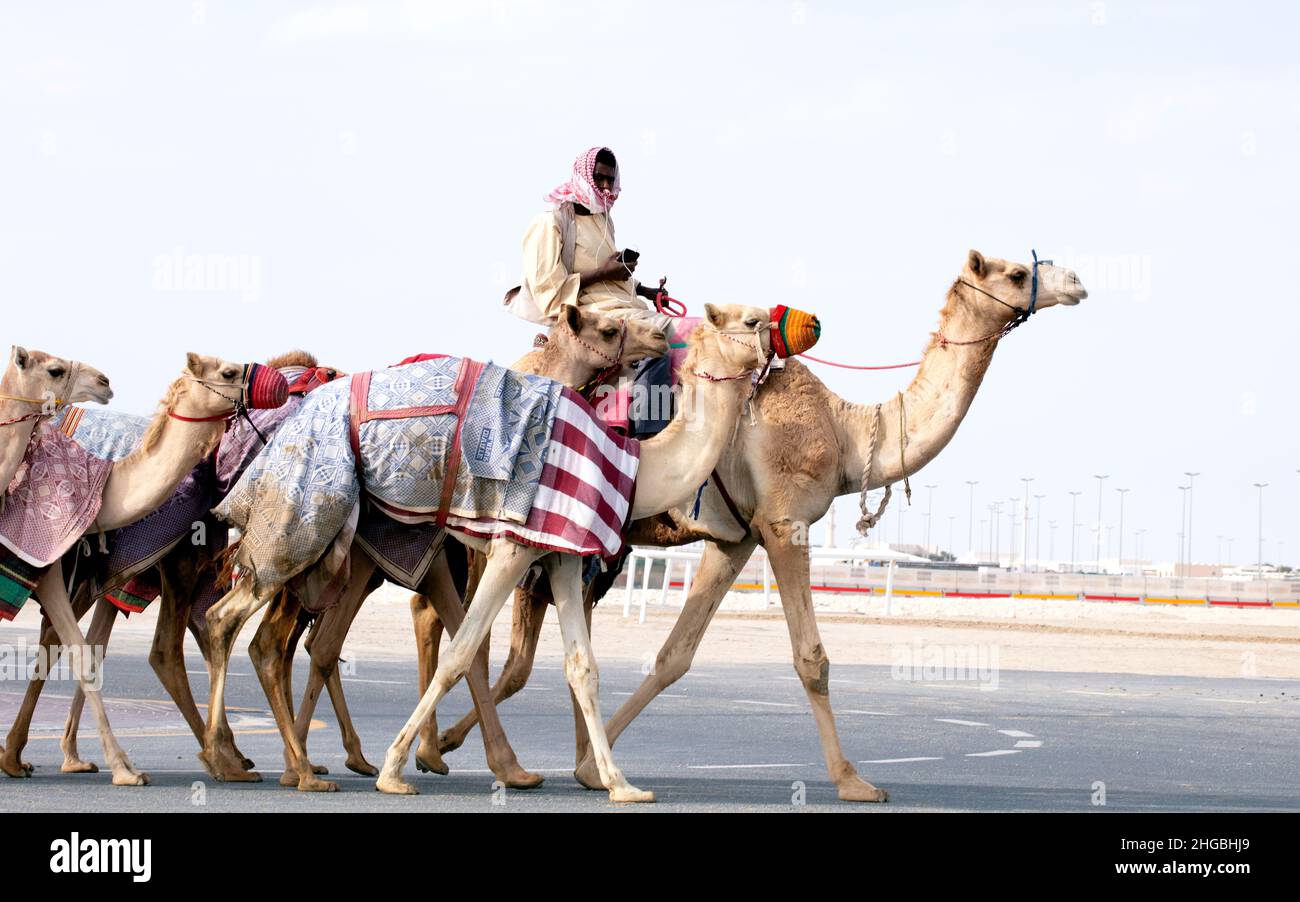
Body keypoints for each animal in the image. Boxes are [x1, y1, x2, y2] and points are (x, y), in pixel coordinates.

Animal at [198, 305, 764, 805]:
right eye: (750, 320)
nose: (661, 334)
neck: (632, 467)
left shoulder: (559, 554)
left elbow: (581, 667)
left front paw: (619, 784)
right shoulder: (510, 548)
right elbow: (462, 652)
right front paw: (398, 770)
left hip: (343, 551)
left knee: (290, 641)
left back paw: (289, 764)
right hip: (301, 518)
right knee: (233, 621)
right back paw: (237, 760)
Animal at [428, 249, 1086, 805]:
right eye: (1014, 273)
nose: (1076, 282)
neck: (845, 433)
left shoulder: (736, 540)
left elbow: (674, 657)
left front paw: (594, 768)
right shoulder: (784, 522)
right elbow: (811, 658)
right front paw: (854, 781)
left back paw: (451, 753)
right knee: (477, 636)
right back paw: (473, 757)